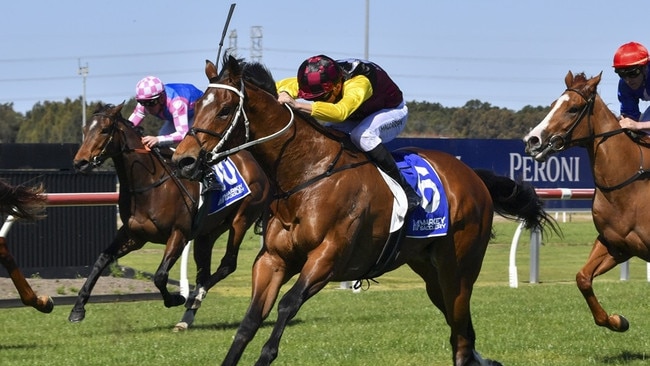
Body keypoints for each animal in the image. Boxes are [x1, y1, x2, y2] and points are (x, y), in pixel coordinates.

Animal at [71, 102, 270, 328]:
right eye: (85, 130)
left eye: (104, 130)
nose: (80, 162)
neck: (149, 185)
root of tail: (257, 164)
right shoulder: (134, 236)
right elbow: (101, 260)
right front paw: (78, 308)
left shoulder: (179, 234)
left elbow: (160, 276)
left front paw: (176, 298)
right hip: (207, 233)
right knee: (204, 270)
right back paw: (187, 318)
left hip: (241, 219)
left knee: (227, 264)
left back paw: (194, 297)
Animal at [172, 55, 556, 366]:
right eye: (196, 106)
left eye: (224, 110)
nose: (183, 160)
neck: (308, 175)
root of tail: (472, 176)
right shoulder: (273, 259)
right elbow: (250, 321)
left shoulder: (327, 257)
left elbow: (287, 306)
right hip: (429, 269)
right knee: (459, 326)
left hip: (459, 268)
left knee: (460, 332)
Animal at [520, 71, 648, 332]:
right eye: (553, 104)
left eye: (573, 108)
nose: (533, 140)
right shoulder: (617, 245)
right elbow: (582, 278)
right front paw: (616, 321)